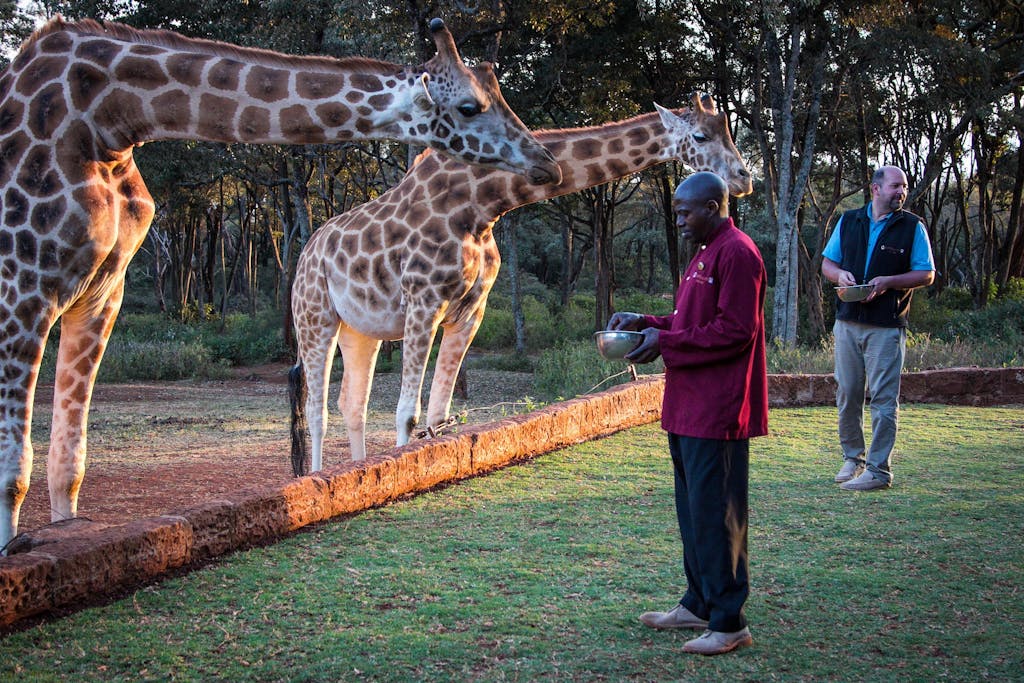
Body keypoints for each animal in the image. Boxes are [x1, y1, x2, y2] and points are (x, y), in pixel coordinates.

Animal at [0, 17, 561, 552]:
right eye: (470, 106)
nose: (546, 163)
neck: (108, 117)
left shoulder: (102, 294)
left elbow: (67, 466)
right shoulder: (23, 286)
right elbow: (13, 470)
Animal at [289, 93, 753, 474]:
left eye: (728, 133)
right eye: (700, 135)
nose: (744, 178)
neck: (483, 203)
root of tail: (306, 253)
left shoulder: (470, 311)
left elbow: (438, 417)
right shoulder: (423, 301)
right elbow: (408, 414)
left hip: (360, 330)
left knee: (352, 405)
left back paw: (354, 467)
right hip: (314, 317)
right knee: (316, 411)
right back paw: (315, 477)